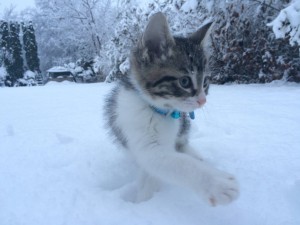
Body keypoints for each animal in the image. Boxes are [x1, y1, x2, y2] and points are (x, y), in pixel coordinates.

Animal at [103, 11, 239, 206]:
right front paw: (217, 182)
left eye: (205, 82)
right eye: (185, 82)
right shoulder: (139, 137)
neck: (157, 111)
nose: (202, 100)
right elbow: (174, 163)